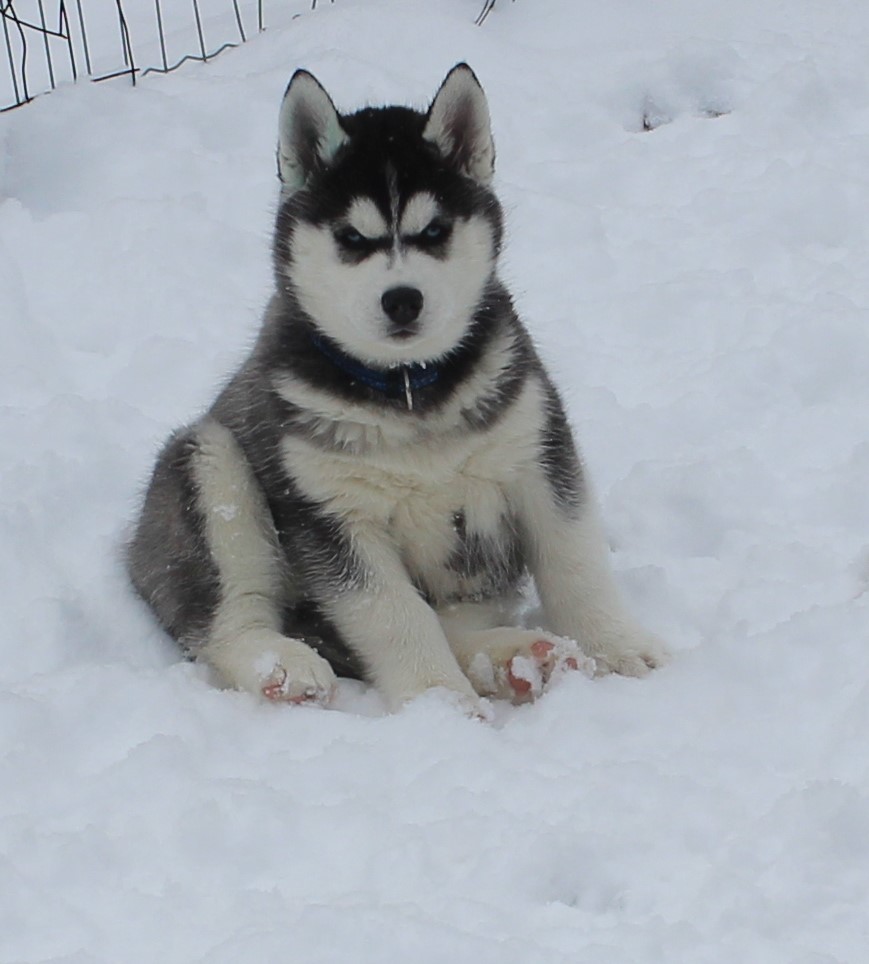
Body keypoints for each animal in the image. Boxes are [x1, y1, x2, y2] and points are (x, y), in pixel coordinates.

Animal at [125, 62, 668, 708]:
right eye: (352, 239)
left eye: (434, 232)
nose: (403, 299)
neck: (408, 389)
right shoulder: (331, 511)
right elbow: (392, 613)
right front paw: (439, 702)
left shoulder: (538, 453)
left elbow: (574, 559)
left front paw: (617, 646)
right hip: (209, 464)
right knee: (227, 619)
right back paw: (282, 665)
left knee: (451, 620)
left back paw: (515, 659)